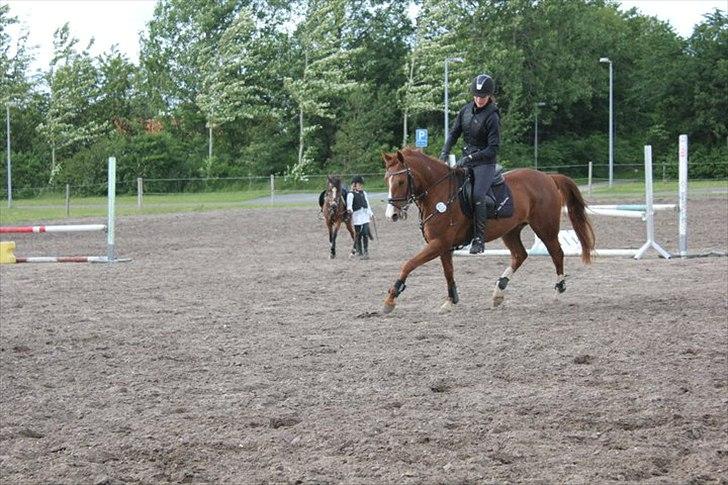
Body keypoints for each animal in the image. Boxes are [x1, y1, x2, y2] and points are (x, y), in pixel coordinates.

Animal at [382, 148, 595, 313]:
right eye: (386, 180)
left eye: (401, 181)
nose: (392, 215)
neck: (439, 193)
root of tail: (548, 177)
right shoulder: (442, 245)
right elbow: (448, 272)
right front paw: (451, 301)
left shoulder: (439, 243)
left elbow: (409, 264)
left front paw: (391, 298)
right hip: (511, 231)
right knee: (520, 255)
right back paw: (499, 291)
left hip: (545, 228)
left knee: (556, 253)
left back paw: (558, 290)